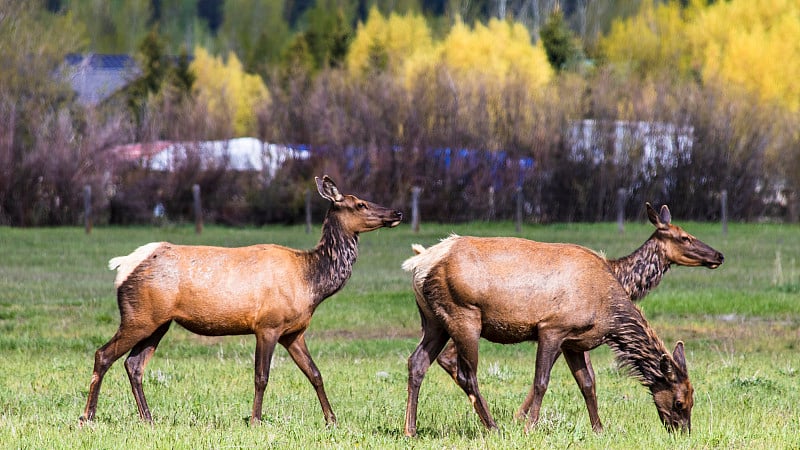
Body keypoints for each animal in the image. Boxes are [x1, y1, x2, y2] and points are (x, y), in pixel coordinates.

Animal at [79, 175, 404, 426]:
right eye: (360, 203)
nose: (397, 213)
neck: (310, 283)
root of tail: (123, 266)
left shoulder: (294, 332)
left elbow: (315, 373)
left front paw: (332, 420)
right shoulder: (267, 325)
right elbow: (262, 376)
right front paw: (256, 420)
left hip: (159, 322)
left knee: (134, 364)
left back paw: (148, 418)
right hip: (138, 315)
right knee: (103, 354)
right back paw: (88, 416)